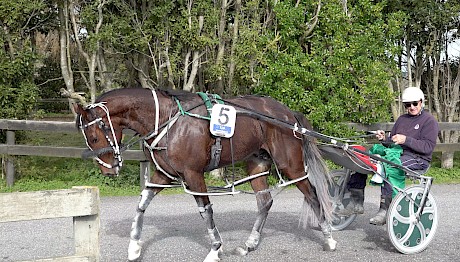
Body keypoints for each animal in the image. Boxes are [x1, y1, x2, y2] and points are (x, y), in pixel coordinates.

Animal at [73, 88, 336, 262]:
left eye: (94, 137)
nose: (107, 170)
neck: (168, 120)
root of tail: (288, 114)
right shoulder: (163, 175)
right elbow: (141, 205)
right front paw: (134, 247)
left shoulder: (194, 175)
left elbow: (206, 211)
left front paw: (215, 249)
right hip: (257, 164)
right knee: (264, 201)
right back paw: (249, 244)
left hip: (291, 165)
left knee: (312, 195)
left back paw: (330, 238)